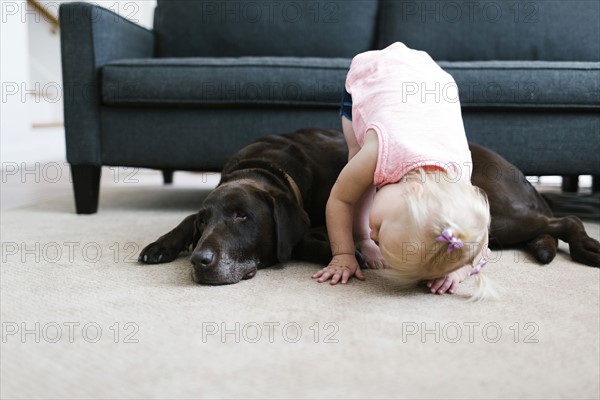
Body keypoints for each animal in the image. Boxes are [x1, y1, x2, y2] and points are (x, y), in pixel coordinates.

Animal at [139, 127, 600, 282]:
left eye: (242, 217)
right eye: (206, 223)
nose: (200, 260)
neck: (267, 167)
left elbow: (308, 237)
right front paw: (162, 243)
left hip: (498, 215)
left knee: (565, 219)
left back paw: (587, 247)